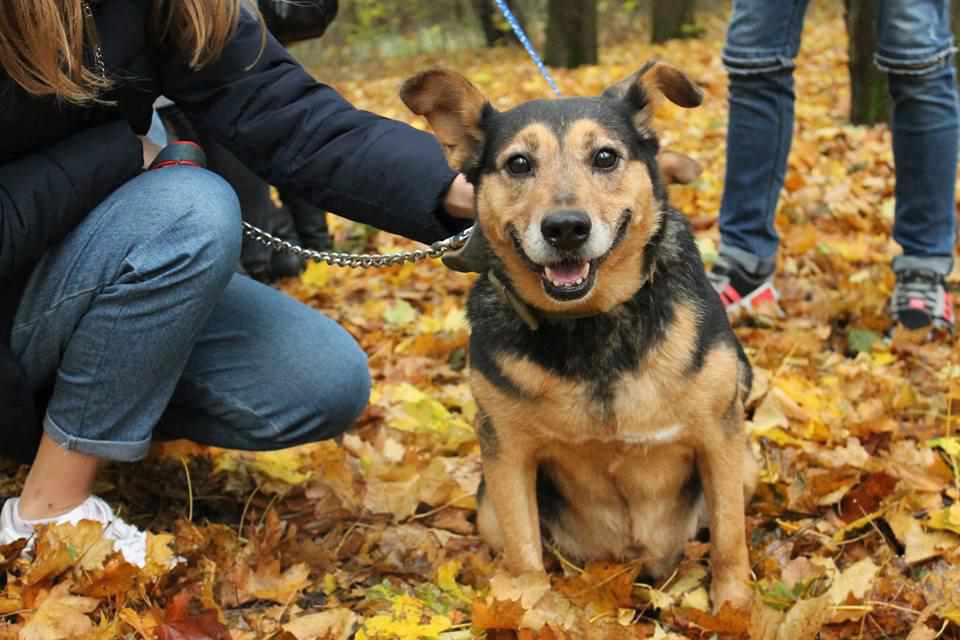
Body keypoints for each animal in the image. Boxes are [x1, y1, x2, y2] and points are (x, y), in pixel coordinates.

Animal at [398, 60, 756, 608]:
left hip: (747, 465)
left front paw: (735, 609)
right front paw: (535, 612)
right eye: (518, 164)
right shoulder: (506, 453)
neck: (591, 323)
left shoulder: (720, 435)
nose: (566, 228)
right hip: (487, 507)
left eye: (605, 156)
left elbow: (730, 539)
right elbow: (525, 556)